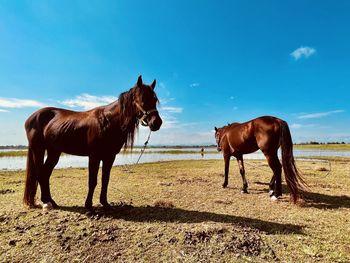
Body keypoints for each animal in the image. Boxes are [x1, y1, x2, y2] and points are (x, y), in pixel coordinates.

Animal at [23, 75, 163, 211]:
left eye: (155, 100)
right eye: (143, 98)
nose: (157, 122)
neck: (107, 122)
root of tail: (32, 117)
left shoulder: (109, 157)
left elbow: (105, 180)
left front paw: (105, 204)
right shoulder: (94, 156)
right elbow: (92, 181)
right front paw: (89, 206)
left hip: (54, 152)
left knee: (45, 174)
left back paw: (51, 201)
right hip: (39, 149)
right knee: (40, 173)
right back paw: (46, 202)